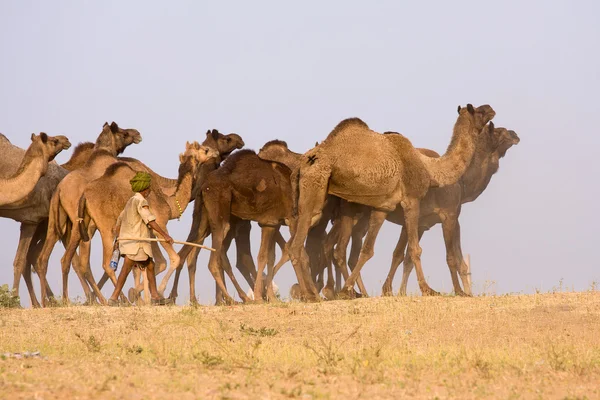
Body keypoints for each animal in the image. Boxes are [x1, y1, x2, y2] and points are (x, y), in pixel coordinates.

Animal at [35, 122, 142, 306]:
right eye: (123, 133)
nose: (137, 134)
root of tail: (59, 190)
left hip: (56, 223)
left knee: (45, 259)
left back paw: (47, 302)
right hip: (78, 223)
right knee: (73, 261)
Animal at [72, 141, 218, 304]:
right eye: (206, 149)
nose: (216, 152)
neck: (169, 202)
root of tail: (85, 194)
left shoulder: (148, 232)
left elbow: (156, 263)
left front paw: (138, 294)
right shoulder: (160, 224)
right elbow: (174, 259)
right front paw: (157, 293)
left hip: (88, 225)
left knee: (85, 260)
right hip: (106, 227)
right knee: (107, 264)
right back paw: (121, 300)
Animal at [288, 104, 494, 300]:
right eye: (478, 111)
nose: (491, 109)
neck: (429, 168)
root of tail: (302, 163)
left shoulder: (383, 206)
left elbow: (368, 250)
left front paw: (347, 290)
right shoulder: (412, 200)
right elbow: (415, 249)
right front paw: (428, 289)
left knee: (313, 247)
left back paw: (317, 292)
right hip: (315, 185)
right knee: (299, 245)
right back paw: (310, 295)